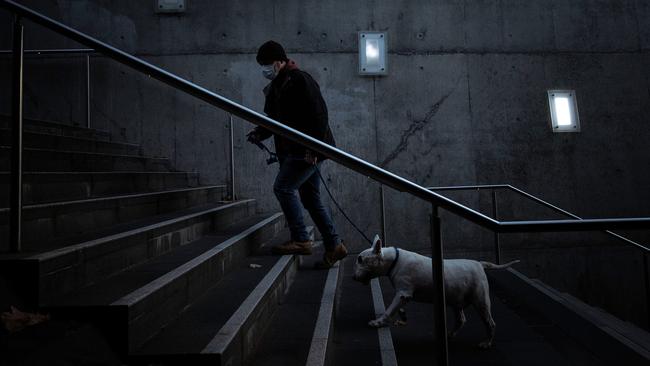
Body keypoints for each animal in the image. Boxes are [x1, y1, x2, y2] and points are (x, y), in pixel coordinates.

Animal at [352, 234, 520, 348]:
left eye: (360, 259)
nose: (353, 277)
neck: (393, 260)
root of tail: (479, 264)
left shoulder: (403, 292)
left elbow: (389, 309)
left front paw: (378, 322)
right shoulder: (402, 295)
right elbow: (397, 308)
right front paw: (402, 318)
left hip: (481, 301)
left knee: (490, 322)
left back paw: (486, 342)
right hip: (456, 301)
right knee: (461, 320)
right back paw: (450, 335)